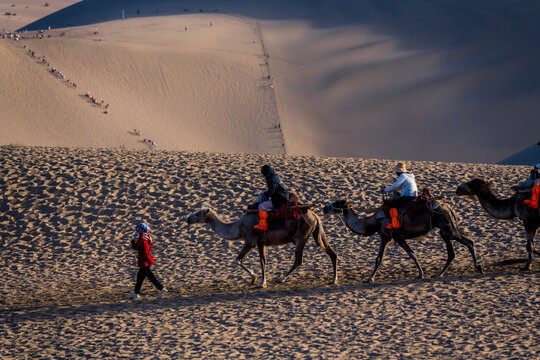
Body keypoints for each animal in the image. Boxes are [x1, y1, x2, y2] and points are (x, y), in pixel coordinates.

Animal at [186, 207, 338, 288]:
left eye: (198, 213)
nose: (188, 218)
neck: (239, 226)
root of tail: (316, 216)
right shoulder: (261, 243)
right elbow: (263, 262)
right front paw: (262, 281)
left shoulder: (250, 241)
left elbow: (237, 260)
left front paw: (255, 278)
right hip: (317, 232)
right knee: (332, 253)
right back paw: (334, 280)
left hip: (300, 236)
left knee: (298, 260)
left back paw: (281, 278)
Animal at [322, 198, 484, 282]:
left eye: (337, 203)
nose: (324, 208)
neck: (373, 222)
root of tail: (450, 208)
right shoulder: (385, 236)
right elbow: (379, 259)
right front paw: (369, 279)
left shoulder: (395, 236)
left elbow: (411, 254)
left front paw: (420, 273)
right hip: (444, 230)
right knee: (452, 252)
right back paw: (440, 274)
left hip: (447, 227)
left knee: (468, 242)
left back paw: (478, 267)